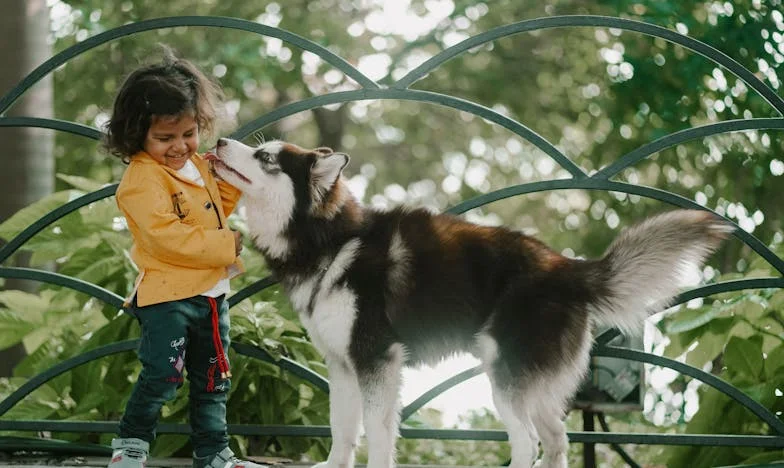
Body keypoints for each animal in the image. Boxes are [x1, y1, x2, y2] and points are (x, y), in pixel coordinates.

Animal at [205, 136, 732, 468]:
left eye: (266, 157)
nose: (220, 142)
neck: (330, 241)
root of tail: (566, 266)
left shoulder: (377, 359)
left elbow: (377, 431)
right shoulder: (342, 364)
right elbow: (341, 429)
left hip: (503, 376)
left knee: (528, 445)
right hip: (536, 387)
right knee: (556, 442)